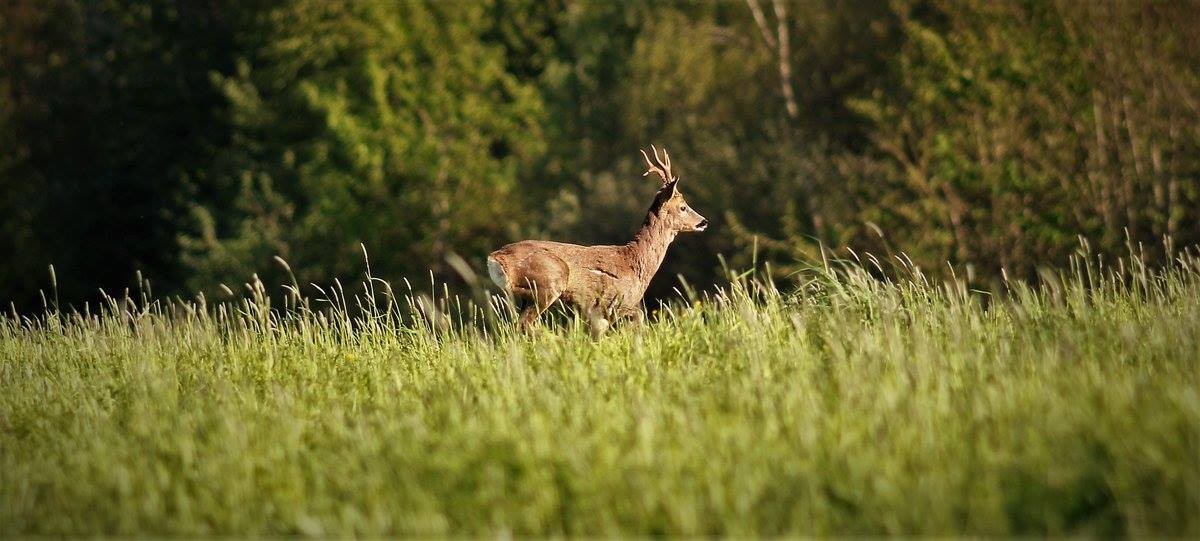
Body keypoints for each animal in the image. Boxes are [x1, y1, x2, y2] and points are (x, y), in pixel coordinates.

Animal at [487, 146, 708, 337]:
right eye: (683, 207)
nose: (704, 221)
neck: (637, 261)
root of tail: (495, 258)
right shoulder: (612, 302)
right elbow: (637, 319)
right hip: (549, 282)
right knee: (525, 324)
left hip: (527, 296)